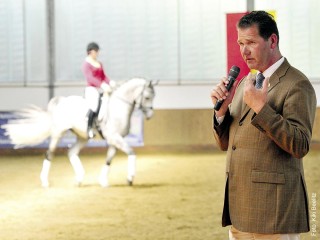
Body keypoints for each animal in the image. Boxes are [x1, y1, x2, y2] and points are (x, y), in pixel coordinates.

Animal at [2, 78, 158, 188]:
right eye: (147, 97)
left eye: (153, 97)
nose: (150, 115)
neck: (118, 108)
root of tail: (61, 101)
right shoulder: (115, 138)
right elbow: (131, 152)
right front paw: (130, 178)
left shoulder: (114, 140)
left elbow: (109, 160)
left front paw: (103, 181)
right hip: (58, 133)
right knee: (49, 154)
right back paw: (45, 182)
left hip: (82, 137)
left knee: (71, 152)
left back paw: (79, 179)